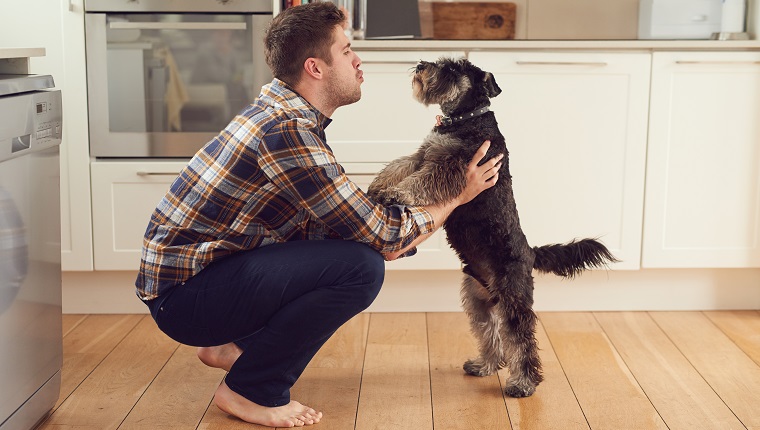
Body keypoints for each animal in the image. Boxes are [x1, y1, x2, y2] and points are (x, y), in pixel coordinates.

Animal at [366, 56, 616, 396]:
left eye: (453, 68)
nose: (420, 64)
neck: (464, 119)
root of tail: (530, 252)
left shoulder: (451, 167)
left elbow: (420, 182)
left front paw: (396, 193)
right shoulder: (424, 154)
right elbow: (399, 165)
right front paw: (378, 186)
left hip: (513, 299)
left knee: (521, 340)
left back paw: (523, 383)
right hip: (478, 301)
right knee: (492, 334)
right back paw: (485, 365)